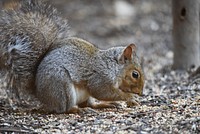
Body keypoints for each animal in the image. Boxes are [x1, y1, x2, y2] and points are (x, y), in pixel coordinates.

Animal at [0, 0, 144, 113]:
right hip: (62, 85)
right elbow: (103, 92)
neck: (112, 67)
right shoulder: (99, 79)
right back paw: (77, 109)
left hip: (80, 93)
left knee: (89, 103)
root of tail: (38, 92)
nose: (141, 93)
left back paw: (103, 105)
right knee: (63, 109)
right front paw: (129, 97)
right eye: (135, 74)